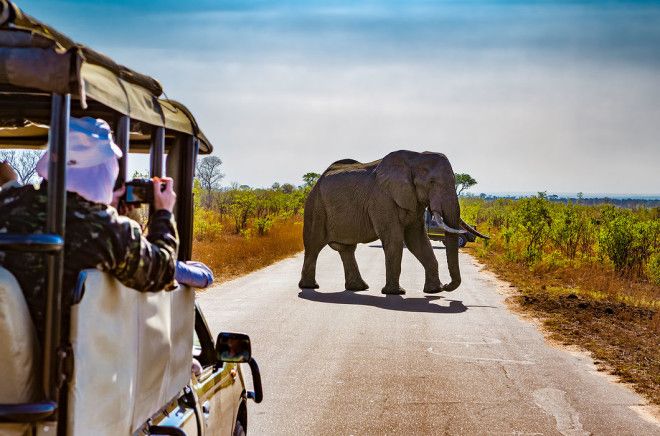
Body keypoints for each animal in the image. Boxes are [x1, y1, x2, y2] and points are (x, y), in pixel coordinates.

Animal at [296, 151, 488, 296]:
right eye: (432, 182)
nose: (448, 287)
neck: (415, 158)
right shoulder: (382, 199)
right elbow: (394, 239)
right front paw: (396, 293)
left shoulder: (414, 201)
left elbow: (417, 240)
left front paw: (434, 291)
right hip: (315, 207)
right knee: (313, 246)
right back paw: (310, 287)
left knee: (347, 249)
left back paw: (359, 288)